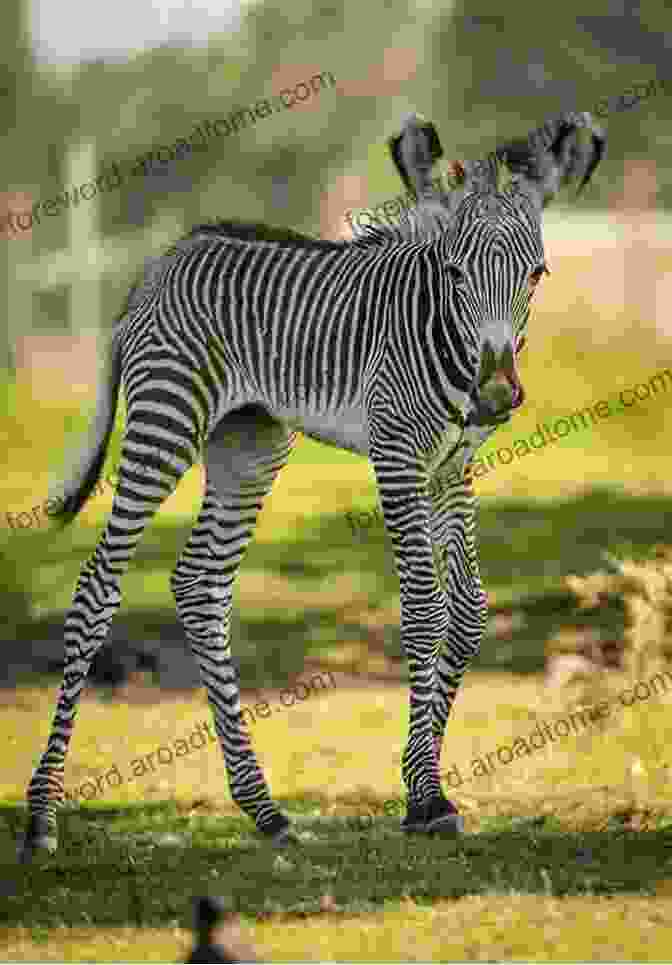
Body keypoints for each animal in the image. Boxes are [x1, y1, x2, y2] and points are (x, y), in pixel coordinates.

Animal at [17, 107, 604, 860]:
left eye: (537, 274)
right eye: (453, 272)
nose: (497, 395)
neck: (439, 332)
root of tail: (161, 263)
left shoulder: (452, 467)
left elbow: (469, 612)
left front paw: (422, 785)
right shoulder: (397, 455)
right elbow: (424, 610)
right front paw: (425, 793)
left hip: (249, 445)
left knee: (200, 587)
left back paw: (263, 808)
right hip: (164, 422)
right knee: (96, 589)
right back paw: (41, 817)